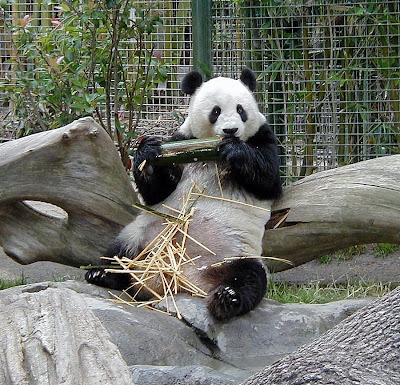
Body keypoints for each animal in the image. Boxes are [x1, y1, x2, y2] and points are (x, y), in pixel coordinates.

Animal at [86, 68, 282, 318]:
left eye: (241, 110)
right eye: (216, 111)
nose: (230, 130)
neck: (211, 154)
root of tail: (182, 280)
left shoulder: (263, 135)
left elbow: (269, 180)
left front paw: (234, 149)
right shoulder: (181, 140)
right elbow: (157, 193)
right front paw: (147, 152)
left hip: (237, 253)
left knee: (250, 278)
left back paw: (227, 298)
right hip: (141, 236)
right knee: (118, 253)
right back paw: (102, 274)